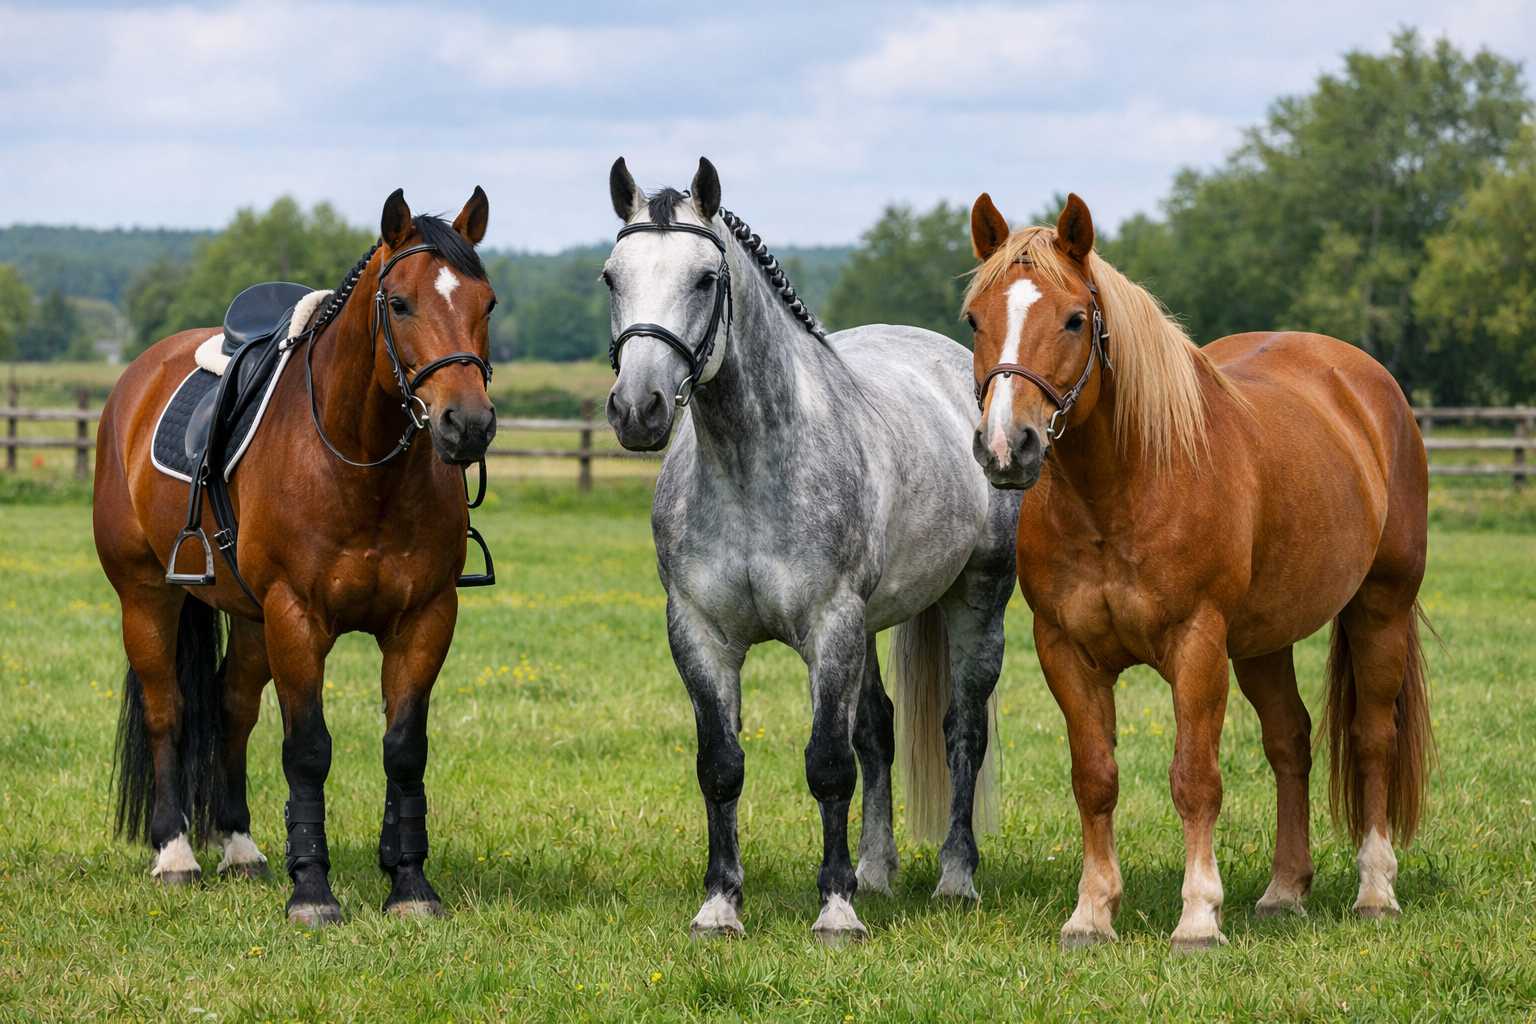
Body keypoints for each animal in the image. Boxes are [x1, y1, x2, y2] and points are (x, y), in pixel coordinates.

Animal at [92, 188, 498, 926]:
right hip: (148, 596)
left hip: (251, 619)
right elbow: (307, 750)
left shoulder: (424, 619)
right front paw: (311, 890)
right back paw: (175, 855)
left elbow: (404, 750)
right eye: (400, 304)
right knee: (168, 710)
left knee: (230, 708)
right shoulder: (297, 619)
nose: (469, 424)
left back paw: (240, 848)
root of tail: (137, 378)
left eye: (488, 303)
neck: (358, 462)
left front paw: (409, 884)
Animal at [601, 156, 1022, 943]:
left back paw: (955, 877)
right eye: (612, 276)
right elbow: (722, 766)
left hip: (976, 599)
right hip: (872, 625)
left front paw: (835, 910)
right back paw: (877, 871)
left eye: (705, 278)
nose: (638, 409)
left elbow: (828, 765)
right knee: (879, 732)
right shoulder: (699, 634)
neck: (749, 468)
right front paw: (721, 905)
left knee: (962, 731)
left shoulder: (831, 626)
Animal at [960, 192, 1432, 950]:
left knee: (1371, 739)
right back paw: (1283, 891)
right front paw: (1091, 913)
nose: (1008, 447)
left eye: (1074, 319)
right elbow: (1095, 777)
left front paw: (1198, 916)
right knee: (1289, 742)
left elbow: (1194, 779)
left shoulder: (1198, 645)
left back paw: (1375, 890)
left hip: (1379, 608)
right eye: (976, 319)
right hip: (1265, 641)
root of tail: (1364, 384)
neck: (1121, 492)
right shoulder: (1065, 650)